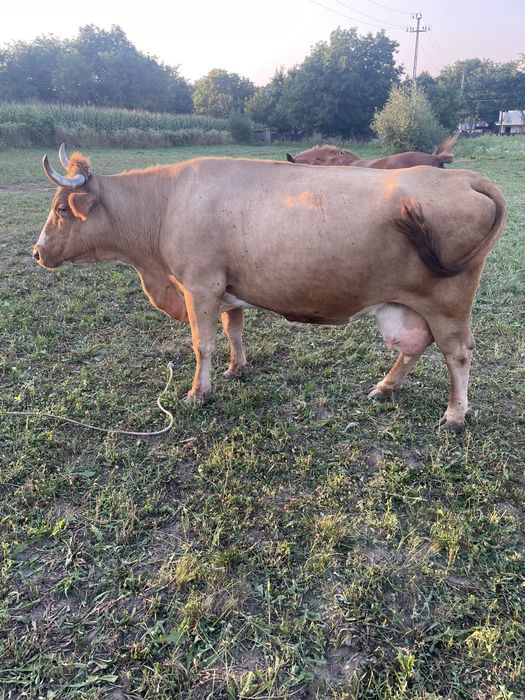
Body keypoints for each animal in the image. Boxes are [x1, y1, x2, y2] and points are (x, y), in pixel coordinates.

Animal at [33, 145, 506, 430]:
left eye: (61, 209)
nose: (37, 253)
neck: (165, 203)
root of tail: (466, 177)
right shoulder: (226, 287)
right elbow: (233, 330)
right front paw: (236, 368)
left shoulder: (199, 284)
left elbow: (202, 343)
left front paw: (197, 393)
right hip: (407, 304)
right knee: (415, 345)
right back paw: (386, 387)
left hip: (448, 303)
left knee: (457, 353)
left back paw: (455, 414)